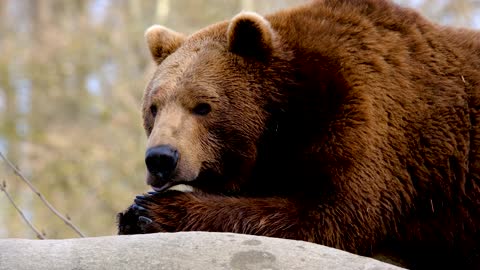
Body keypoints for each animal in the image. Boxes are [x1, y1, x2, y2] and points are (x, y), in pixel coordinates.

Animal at [116, 0, 480, 268]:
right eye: (154, 107)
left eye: (202, 106)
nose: (161, 157)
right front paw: (134, 213)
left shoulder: (368, 117)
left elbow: (334, 212)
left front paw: (153, 210)